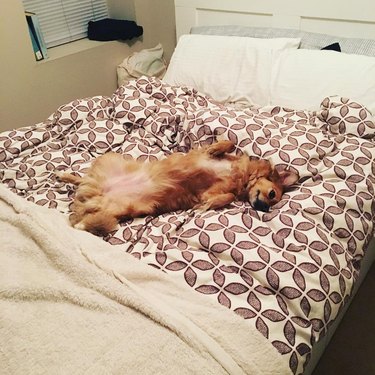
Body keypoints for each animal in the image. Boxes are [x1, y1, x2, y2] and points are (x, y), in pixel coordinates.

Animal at [57, 140, 300, 236]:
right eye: (272, 194)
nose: (264, 209)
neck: (239, 174)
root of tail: (100, 192)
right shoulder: (203, 156)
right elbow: (228, 143)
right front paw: (218, 147)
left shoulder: (213, 190)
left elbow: (227, 195)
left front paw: (208, 204)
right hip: (109, 159)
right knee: (82, 181)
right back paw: (65, 175)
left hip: (113, 209)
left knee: (82, 220)